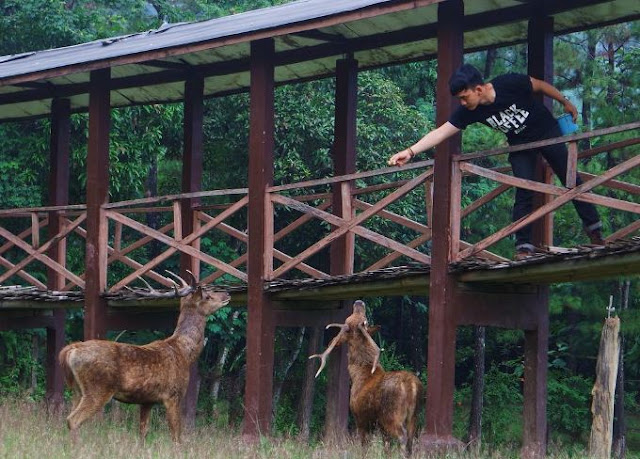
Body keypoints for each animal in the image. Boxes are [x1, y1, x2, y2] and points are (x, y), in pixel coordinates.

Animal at [58, 272, 230, 444]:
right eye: (207, 296)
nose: (227, 294)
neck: (185, 352)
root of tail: (71, 350)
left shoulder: (147, 400)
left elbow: (143, 433)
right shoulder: (173, 394)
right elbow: (176, 436)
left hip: (76, 390)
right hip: (98, 388)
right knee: (73, 419)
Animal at [312, 300, 424, 454]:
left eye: (351, 317)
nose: (358, 301)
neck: (358, 374)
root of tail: (411, 386)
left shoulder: (360, 418)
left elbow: (364, 447)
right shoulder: (381, 427)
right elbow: (386, 448)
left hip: (392, 415)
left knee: (403, 438)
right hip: (414, 417)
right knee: (410, 442)